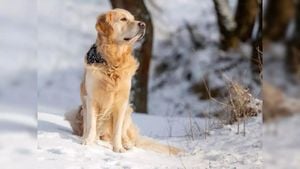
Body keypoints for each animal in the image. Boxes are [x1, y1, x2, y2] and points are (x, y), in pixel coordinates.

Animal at [65, 8, 182, 155]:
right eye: (123, 19)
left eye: (133, 18)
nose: (143, 24)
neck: (113, 62)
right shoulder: (91, 99)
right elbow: (91, 125)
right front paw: (88, 142)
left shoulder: (121, 103)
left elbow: (117, 130)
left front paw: (118, 148)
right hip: (75, 112)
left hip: (128, 109)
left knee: (125, 134)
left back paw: (127, 144)